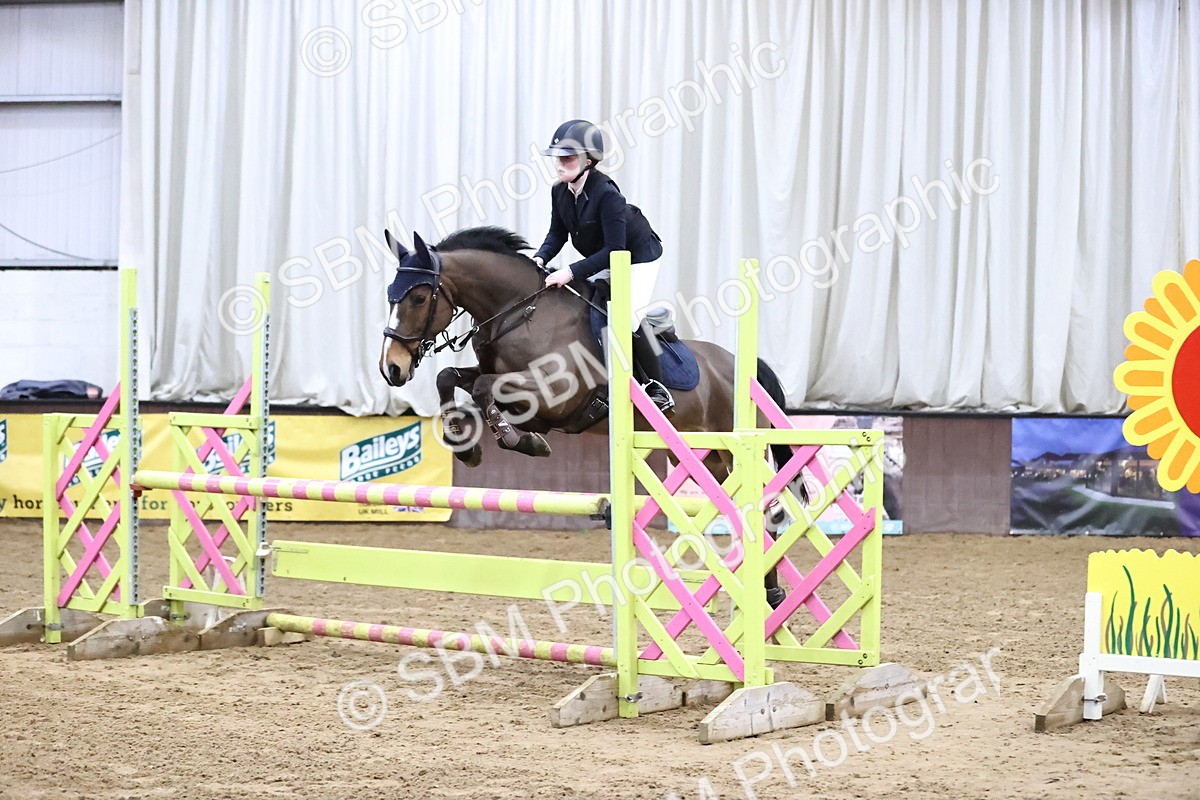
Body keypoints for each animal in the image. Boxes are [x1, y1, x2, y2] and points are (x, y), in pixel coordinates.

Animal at [378, 226, 802, 607]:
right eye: (390, 296)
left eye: (418, 297)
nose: (391, 369)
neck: (521, 314)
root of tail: (744, 368)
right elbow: (450, 377)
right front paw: (466, 447)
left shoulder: (553, 396)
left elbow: (484, 388)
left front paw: (521, 441)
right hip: (704, 457)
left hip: (731, 451)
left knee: (761, 511)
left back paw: (770, 593)